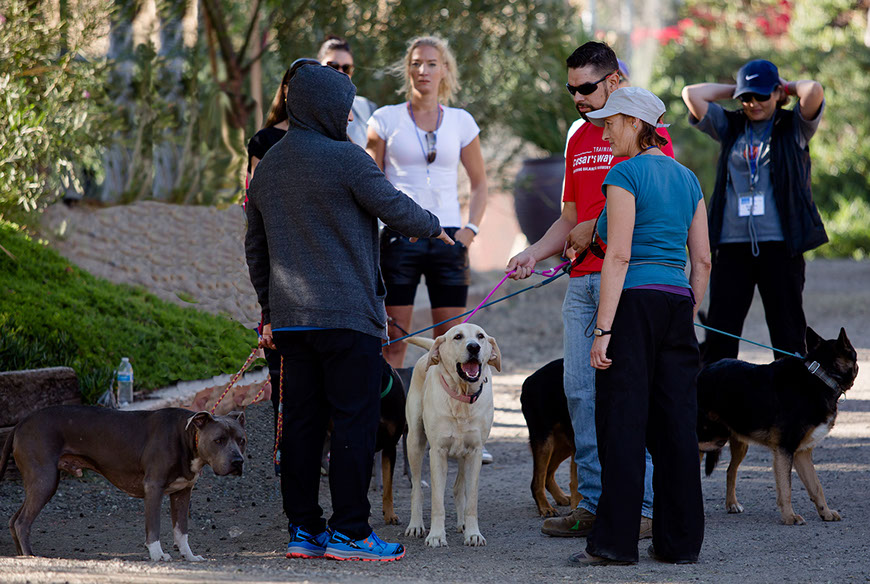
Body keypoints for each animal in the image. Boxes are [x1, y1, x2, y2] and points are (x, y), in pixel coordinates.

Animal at [0, 406, 245, 560]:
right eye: (218, 440)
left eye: (242, 440)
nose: (238, 462)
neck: (186, 437)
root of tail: (20, 424)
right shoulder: (153, 488)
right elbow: (153, 527)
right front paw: (157, 555)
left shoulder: (182, 493)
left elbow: (181, 530)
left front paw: (189, 556)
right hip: (45, 480)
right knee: (22, 522)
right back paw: (31, 556)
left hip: (38, 483)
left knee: (13, 520)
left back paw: (22, 556)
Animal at [404, 324, 500, 548]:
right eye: (458, 337)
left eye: (480, 337)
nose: (473, 347)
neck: (461, 398)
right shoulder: (438, 453)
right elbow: (437, 501)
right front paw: (436, 536)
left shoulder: (474, 453)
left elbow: (471, 500)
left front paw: (473, 533)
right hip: (414, 442)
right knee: (416, 489)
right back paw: (416, 525)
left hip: (463, 455)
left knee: (458, 488)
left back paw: (462, 523)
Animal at [520, 358, 584, 516]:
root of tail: (528, 380)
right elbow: (576, 483)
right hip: (545, 441)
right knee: (537, 481)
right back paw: (545, 507)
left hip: (563, 445)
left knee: (547, 475)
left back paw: (561, 498)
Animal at [700, 328, 860, 524]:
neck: (820, 375)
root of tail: (702, 372)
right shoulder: (785, 451)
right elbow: (786, 488)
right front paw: (789, 517)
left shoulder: (801, 453)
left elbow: (816, 486)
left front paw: (826, 513)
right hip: (708, 439)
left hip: (737, 443)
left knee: (730, 470)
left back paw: (732, 504)